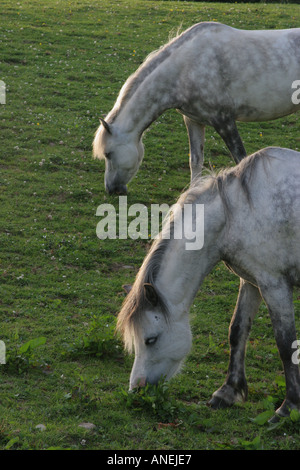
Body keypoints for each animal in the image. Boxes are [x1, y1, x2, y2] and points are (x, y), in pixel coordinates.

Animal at [92, 21, 298, 194]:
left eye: (108, 154)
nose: (111, 189)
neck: (185, 68)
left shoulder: (224, 121)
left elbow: (241, 159)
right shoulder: (194, 120)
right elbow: (195, 160)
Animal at [117, 147, 300, 418]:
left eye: (150, 339)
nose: (136, 389)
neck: (235, 212)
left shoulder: (275, 285)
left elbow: (286, 345)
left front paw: (289, 407)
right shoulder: (252, 282)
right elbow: (237, 330)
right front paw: (228, 392)